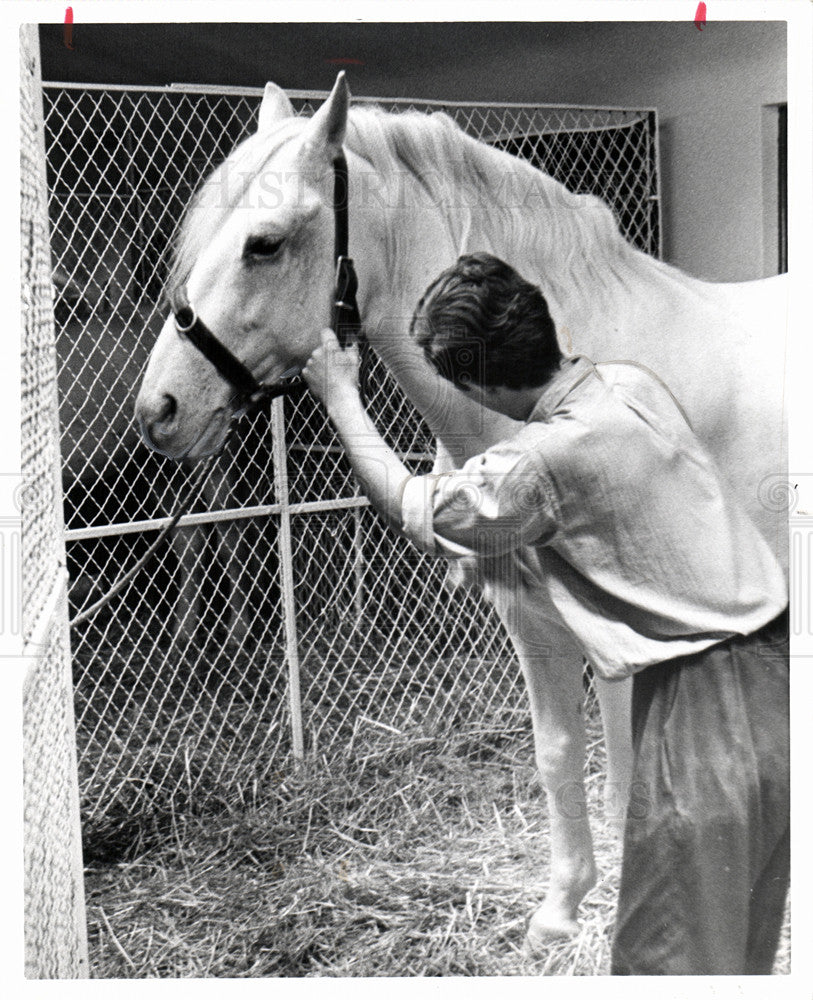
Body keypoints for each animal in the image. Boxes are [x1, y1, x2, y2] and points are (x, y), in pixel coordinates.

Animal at [135, 74, 788, 948]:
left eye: (264, 244)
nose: (160, 409)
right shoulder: (532, 620)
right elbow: (558, 753)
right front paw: (560, 909)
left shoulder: (630, 630)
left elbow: (626, 765)